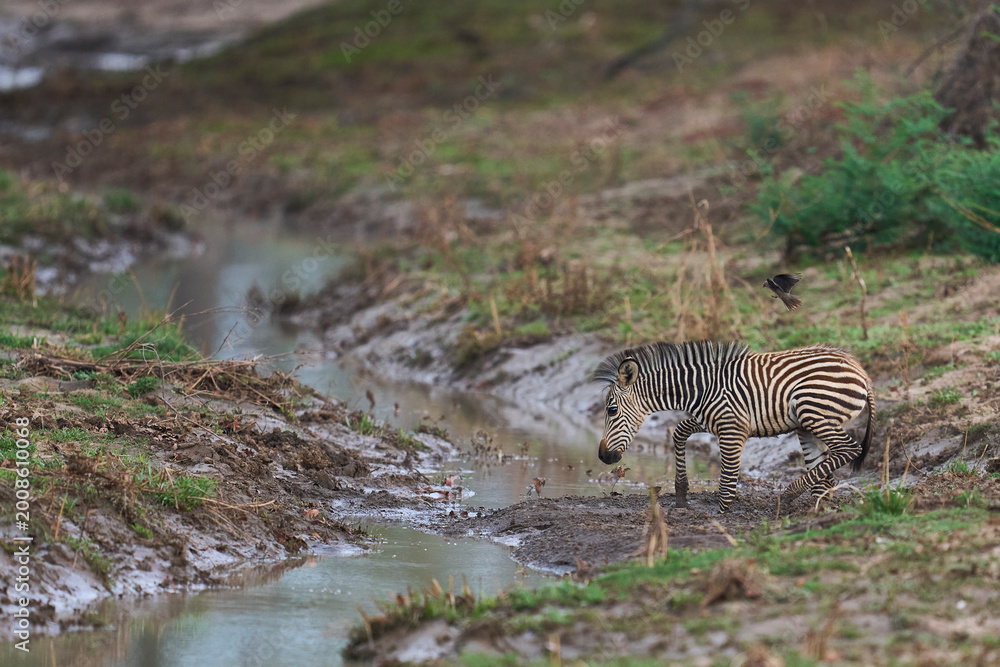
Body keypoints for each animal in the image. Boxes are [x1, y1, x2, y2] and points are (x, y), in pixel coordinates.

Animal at [593, 341, 876, 513]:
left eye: (611, 410)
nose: (603, 456)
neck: (700, 389)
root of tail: (861, 371)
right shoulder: (708, 420)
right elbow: (679, 432)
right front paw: (682, 492)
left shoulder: (733, 428)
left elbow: (728, 477)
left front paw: (721, 512)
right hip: (808, 426)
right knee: (823, 466)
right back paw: (818, 504)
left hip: (813, 412)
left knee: (850, 449)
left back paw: (790, 493)